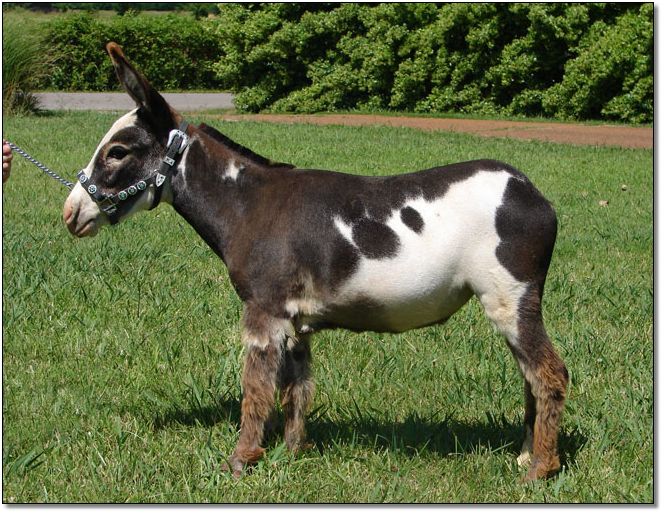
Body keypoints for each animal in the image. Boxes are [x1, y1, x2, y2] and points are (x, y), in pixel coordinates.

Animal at [63, 43, 568, 482]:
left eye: (117, 152)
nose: (70, 214)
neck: (248, 204)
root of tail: (532, 191)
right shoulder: (295, 321)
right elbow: (295, 388)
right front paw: (293, 453)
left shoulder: (262, 312)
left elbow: (256, 390)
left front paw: (240, 461)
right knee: (530, 375)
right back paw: (528, 455)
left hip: (509, 299)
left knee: (549, 374)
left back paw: (542, 470)